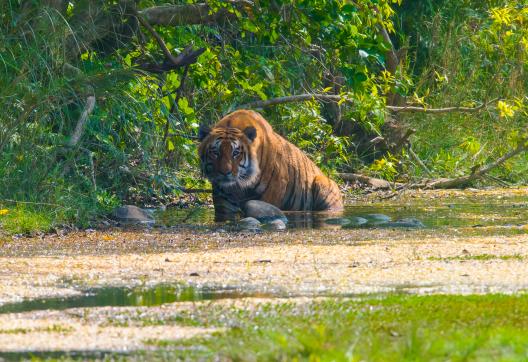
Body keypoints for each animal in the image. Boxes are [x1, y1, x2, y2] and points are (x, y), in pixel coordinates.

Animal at [197, 109, 342, 222]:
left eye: (236, 153)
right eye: (215, 152)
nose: (225, 172)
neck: (239, 186)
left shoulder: (274, 190)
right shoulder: (223, 201)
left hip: (322, 183)